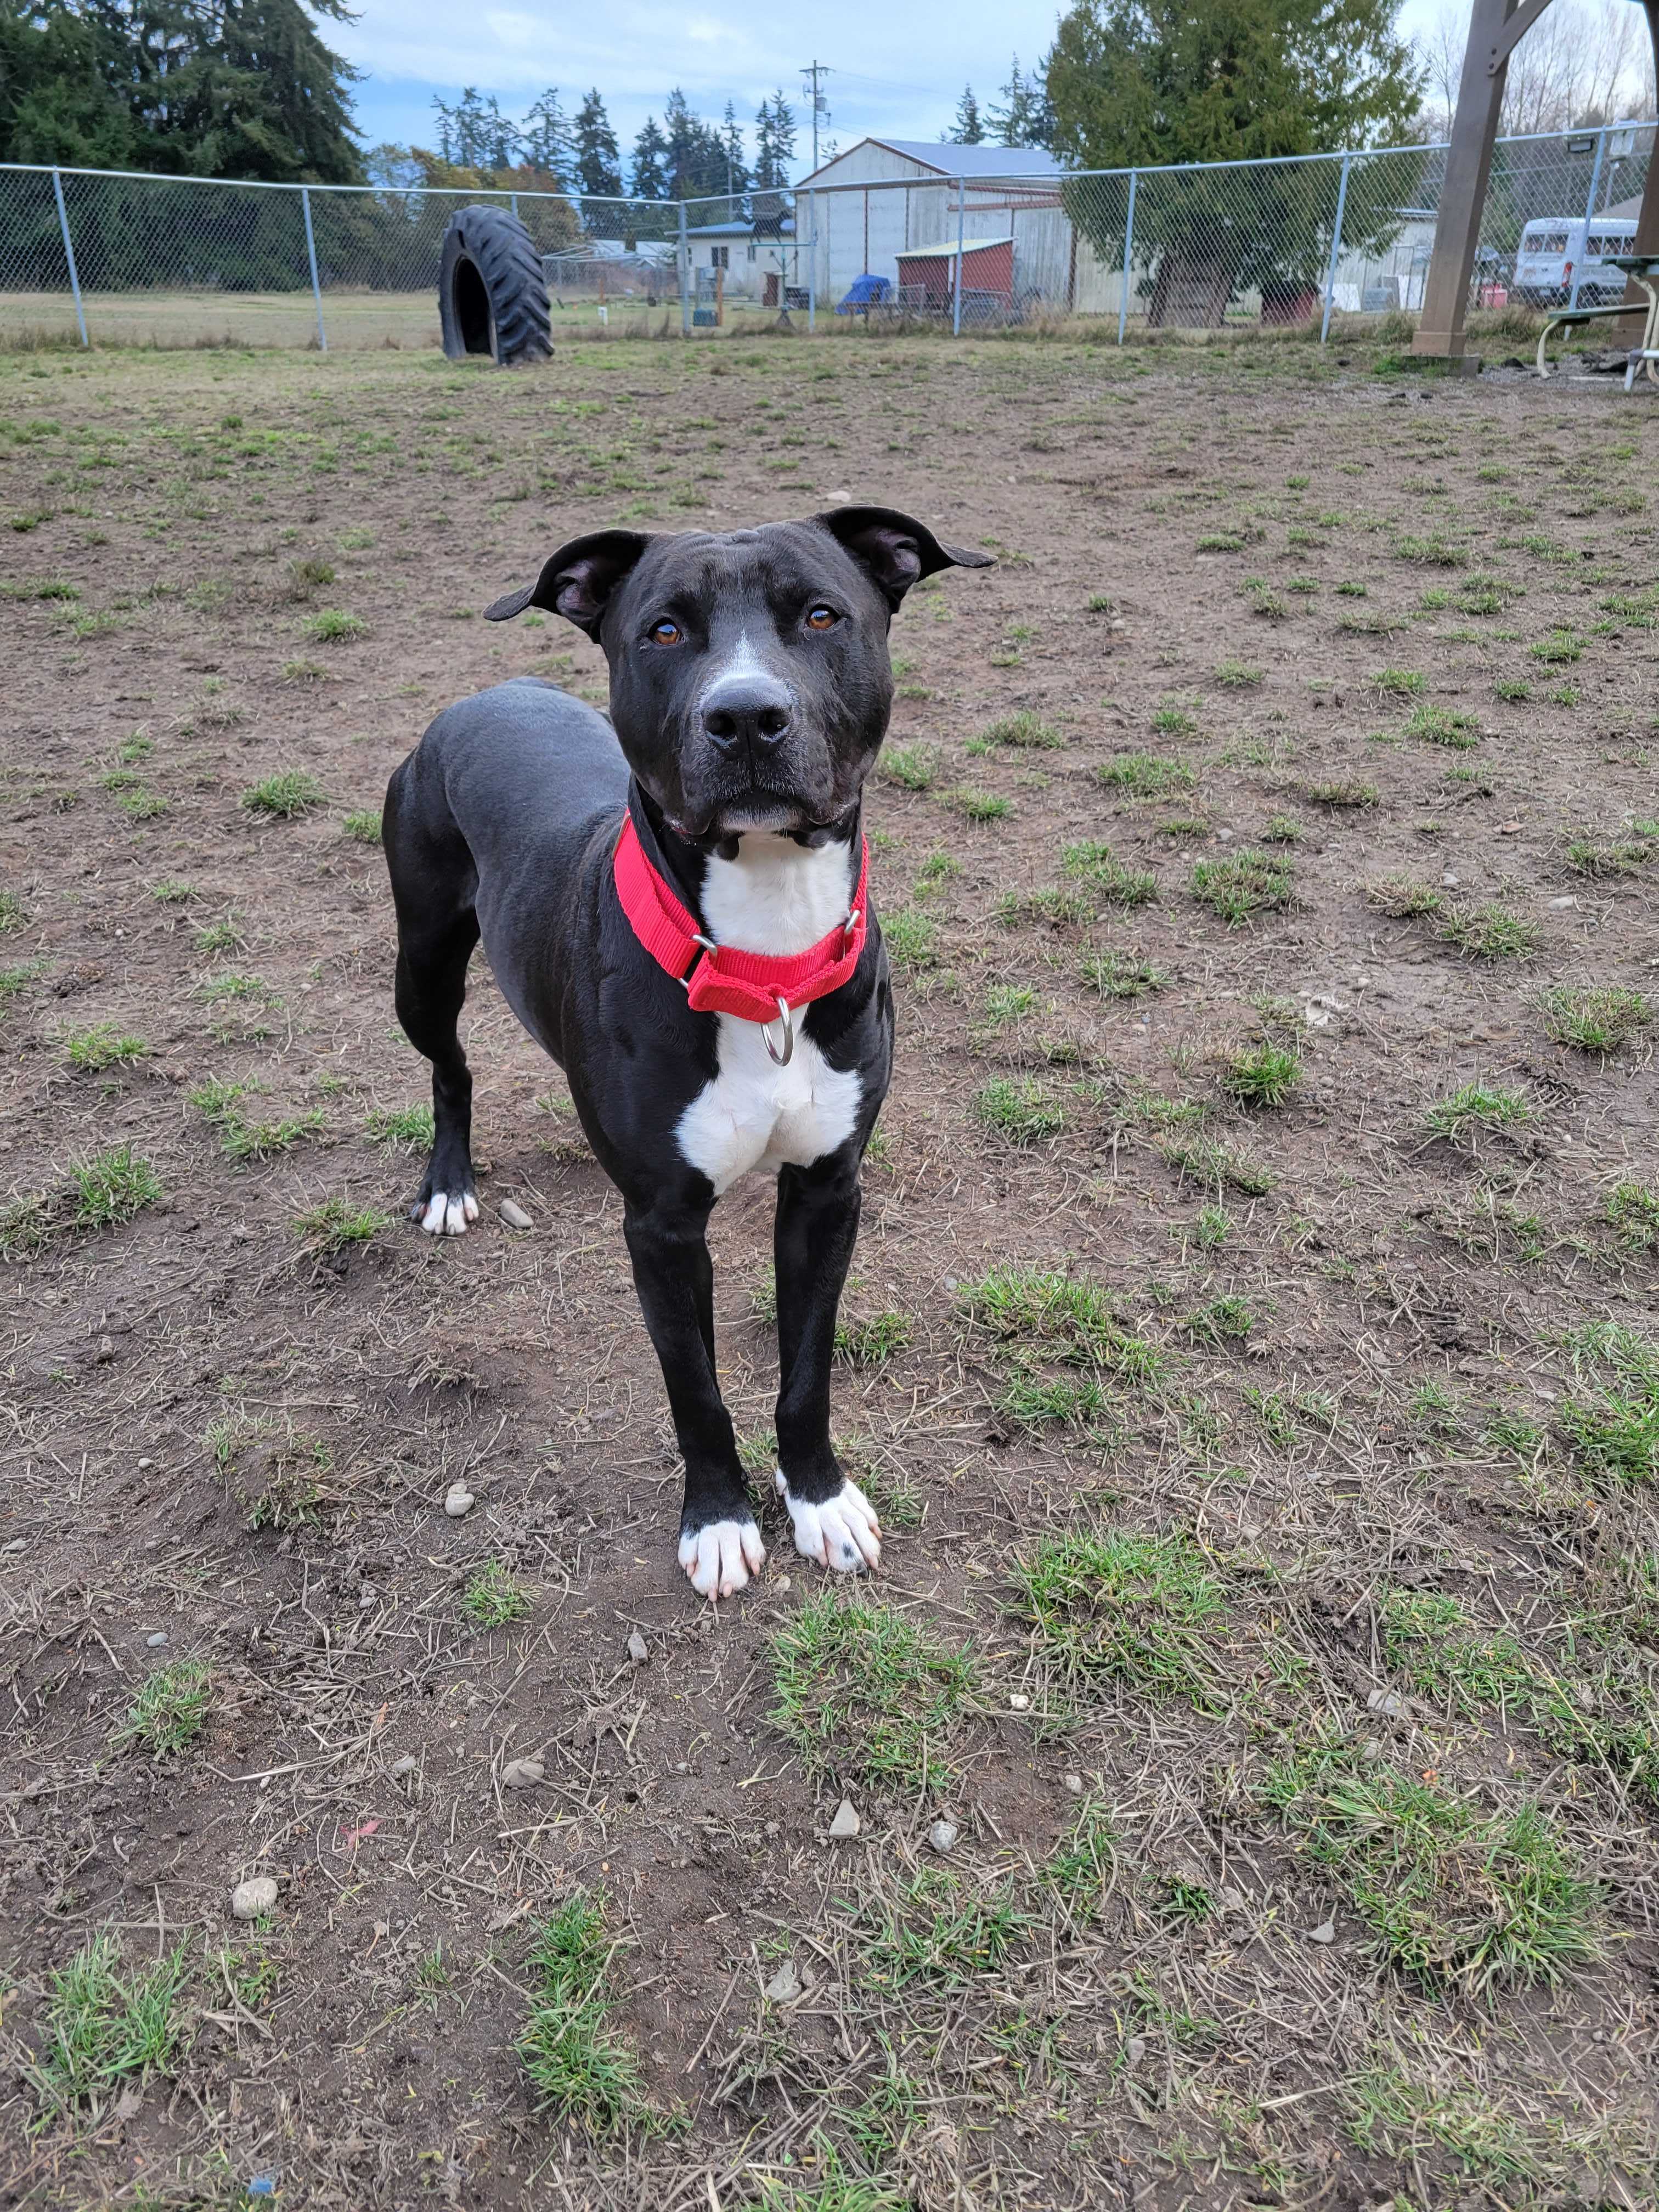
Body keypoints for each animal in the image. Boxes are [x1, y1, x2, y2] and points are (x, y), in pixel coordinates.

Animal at [382, 509, 995, 1601]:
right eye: (663, 631)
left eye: (821, 614)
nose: (746, 716)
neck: (765, 952)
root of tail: (491, 691)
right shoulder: (662, 1228)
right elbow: (696, 1389)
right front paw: (717, 1520)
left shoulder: (827, 1190)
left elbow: (805, 1370)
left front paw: (819, 1499)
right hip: (422, 961)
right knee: (450, 1067)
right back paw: (449, 1182)